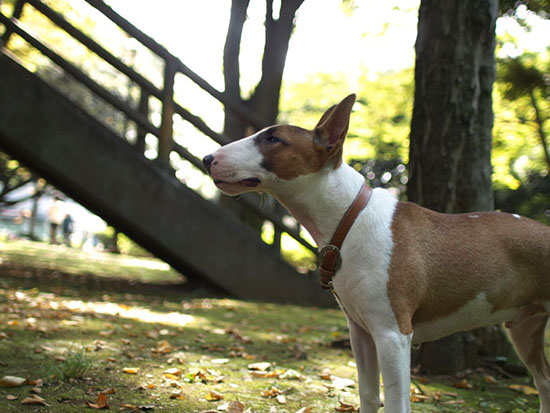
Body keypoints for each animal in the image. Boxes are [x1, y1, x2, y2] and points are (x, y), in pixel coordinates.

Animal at [204, 95, 550, 410]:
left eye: (273, 138)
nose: (207, 158)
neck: (350, 217)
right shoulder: (361, 333)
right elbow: (368, 396)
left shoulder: (393, 335)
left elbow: (396, 402)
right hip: (525, 329)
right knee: (544, 382)